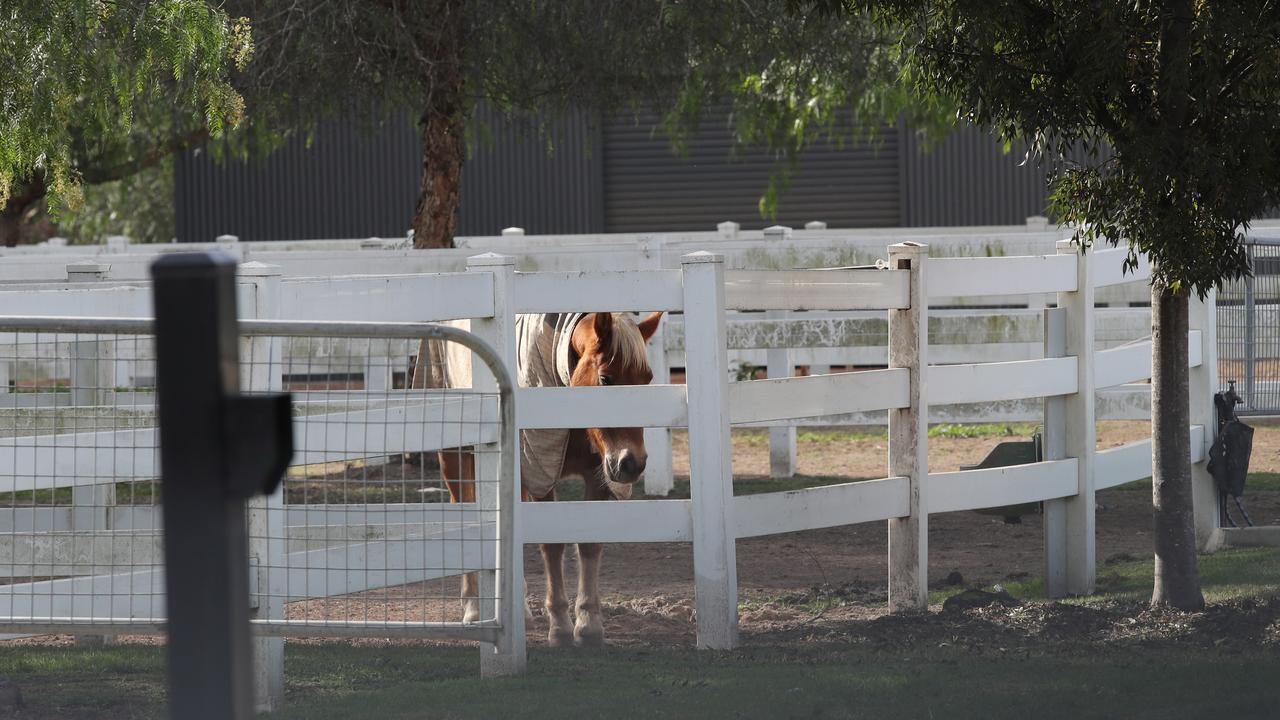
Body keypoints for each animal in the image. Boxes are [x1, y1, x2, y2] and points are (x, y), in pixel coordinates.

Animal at [417, 310, 665, 645]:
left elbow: (590, 543)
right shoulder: (540, 468)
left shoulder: (596, 472)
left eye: (647, 380)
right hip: (455, 457)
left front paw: (588, 623)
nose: (633, 464)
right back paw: (472, 607)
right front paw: (560, 625)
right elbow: (552, 545)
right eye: (605, 379)